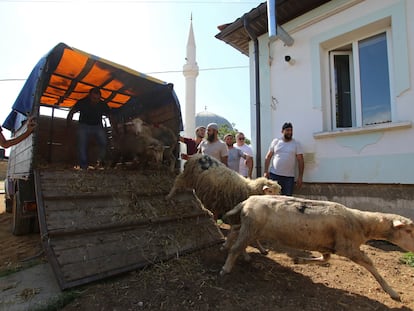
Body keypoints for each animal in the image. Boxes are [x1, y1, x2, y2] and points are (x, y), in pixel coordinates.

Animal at [220, 196, 414, 302]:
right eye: (409, 230)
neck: (361, 223)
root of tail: (247, 200)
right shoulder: (348, 247)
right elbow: (371, 264)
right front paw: (392, 292)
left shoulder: (326, 246)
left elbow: (325, 259)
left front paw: (299, 260)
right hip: (251, 227)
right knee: (237, 245)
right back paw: (226, 268)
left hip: (250, 226)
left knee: (234, 231)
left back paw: (227, 247)